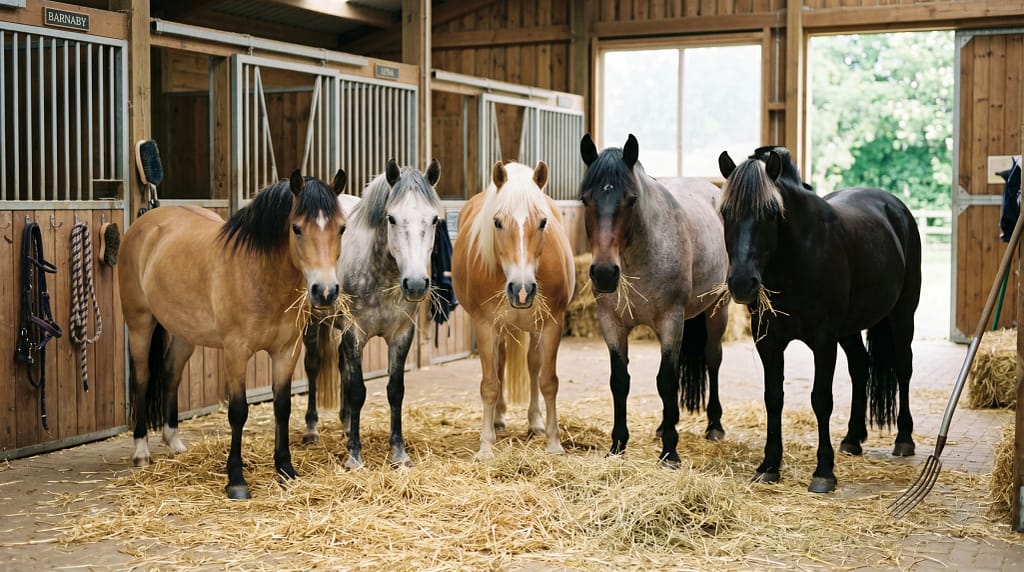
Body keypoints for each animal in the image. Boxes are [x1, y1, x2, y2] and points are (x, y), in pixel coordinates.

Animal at [119, 169, 347, 499]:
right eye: (297, 229)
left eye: (341, 228)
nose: (325, 291)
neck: (260, 273)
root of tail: (145, 222)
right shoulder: (236, 351)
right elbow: (238, 411)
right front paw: (236, 480)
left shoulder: (286, 351)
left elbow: (282, 407)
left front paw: (286, 470)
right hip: (140, 324)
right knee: (143, 378)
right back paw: (141, 451)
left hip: (185, 332)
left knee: (171, 373)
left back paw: (174, 442)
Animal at [302, 158, 442, 469]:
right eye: (391, 218)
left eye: (434, 219)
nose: (416, 284)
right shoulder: (355, 332)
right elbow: (357, 391)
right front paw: (354, 455)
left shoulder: (401, 335)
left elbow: (395, 391)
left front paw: (399, 453)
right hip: (313, 322)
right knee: (313, 366)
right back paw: (312, 430)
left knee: (341, 365)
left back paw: (344, 424)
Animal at [451, 160, 575, 460]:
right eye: (497, 222)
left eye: (543, 222)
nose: (522, 289)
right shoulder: (486, 327)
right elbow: (489, 384)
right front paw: (486, 446)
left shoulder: (551, 325)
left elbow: (548, 381)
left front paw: (554, 443)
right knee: (499, 364)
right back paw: (497, 420)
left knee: (532, 366)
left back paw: (534, 422)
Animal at [577, 134, 729, 467]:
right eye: (585, 199)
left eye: (631, 199)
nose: (605, 273)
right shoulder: (612, 323)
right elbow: (620, 381)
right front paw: (617, 445)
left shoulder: (671, 321)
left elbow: (666, 381)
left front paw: (670, 452)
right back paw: (663, 426)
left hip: (717, 309)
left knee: (713, 359)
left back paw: (714, 425)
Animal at [718, 146, 920, 493]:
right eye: (725, 212)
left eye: (771, 213)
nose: (742, 283)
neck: (798, 258)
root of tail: (896, 208)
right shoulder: (768, 341)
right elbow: (773, 397)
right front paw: (769, 465)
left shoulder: (824, 340)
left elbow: (821, 399)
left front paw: (824, 471)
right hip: (850, 329)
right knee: (860, 366)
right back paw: (852, 439)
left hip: (902, 315)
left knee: (903, 368)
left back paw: (904, 439)